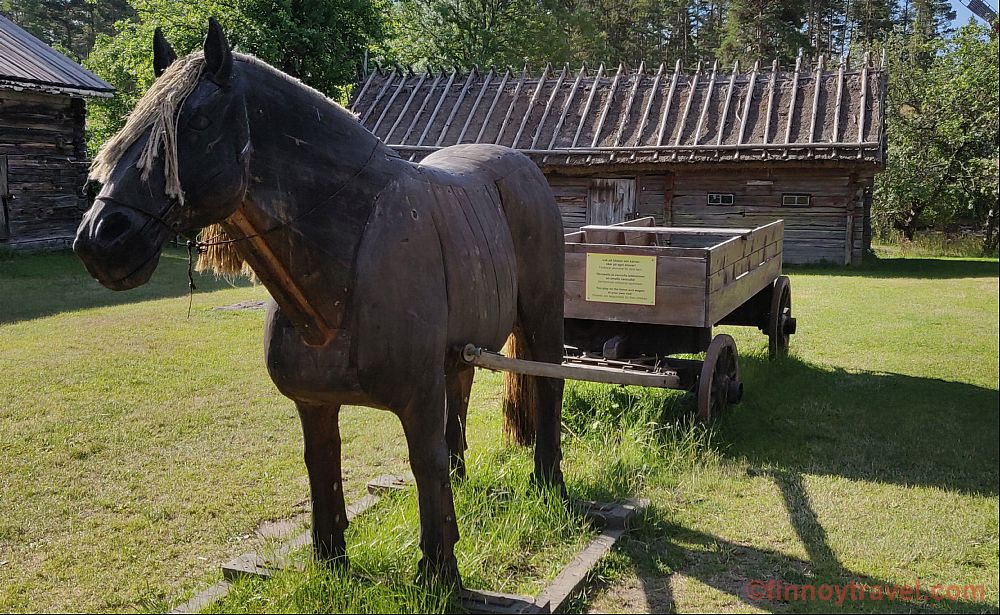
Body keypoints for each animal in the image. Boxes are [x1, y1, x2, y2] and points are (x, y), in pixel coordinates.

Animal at [73, 18, 566, 583]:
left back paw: (549, 482)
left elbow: (425, 463)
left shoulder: (417, 399)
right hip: (460, 349)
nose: (100, 239)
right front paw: (331, 561)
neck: (338, 280)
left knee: (548, 387)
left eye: (195, 121)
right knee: (459, 401)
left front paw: (439, 574)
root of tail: (527, 169)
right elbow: (323, 466)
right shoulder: (314, 403)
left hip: (541, 320)